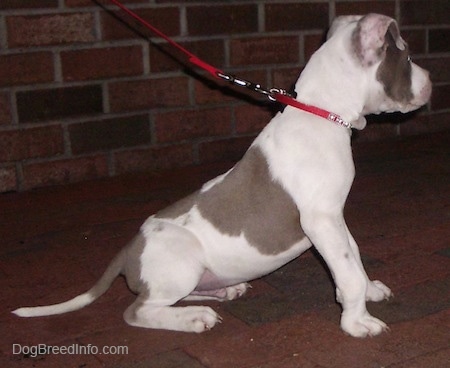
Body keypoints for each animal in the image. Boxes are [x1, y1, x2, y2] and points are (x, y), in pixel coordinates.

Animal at [12, 13, 430, 336]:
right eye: (407, 56)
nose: (431, 80)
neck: (321, 112)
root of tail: (129, 249)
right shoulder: (321, 219)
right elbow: (347, 270)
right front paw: (358, 322)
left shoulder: (334, 219)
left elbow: (352, 256)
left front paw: (367, 292)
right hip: (183, 261)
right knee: (139, 310)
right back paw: (194, 318)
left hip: (191, 273)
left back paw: (222, 293)